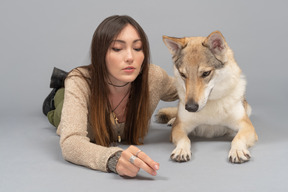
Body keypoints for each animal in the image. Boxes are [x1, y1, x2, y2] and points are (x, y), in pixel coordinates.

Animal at [158, 30, 258, 163]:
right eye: (183, 74)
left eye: (206, 73)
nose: (190, 108)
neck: (210, 105)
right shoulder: (179, 128)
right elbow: (185, 139)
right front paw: (181, 150)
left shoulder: (247, 126)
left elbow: (237, 138)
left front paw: (237, 150)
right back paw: (172, 120)